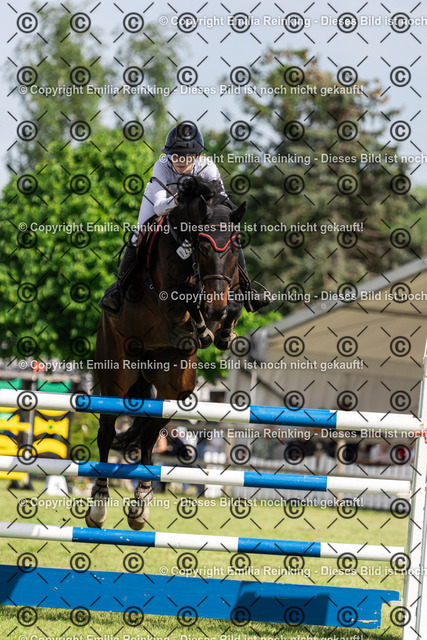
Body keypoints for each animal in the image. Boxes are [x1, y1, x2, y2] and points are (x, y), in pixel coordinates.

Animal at [86, 176, 246, 530]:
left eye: (235, 246)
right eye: (203, 246)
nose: (215, 307)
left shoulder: (228, 288)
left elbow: (233, 303)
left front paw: (221, 333)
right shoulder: (170, 302)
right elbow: (186, 297)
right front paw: (203, 329)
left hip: (176, 385)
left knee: (150, 432)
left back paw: (141, 502)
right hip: (116, 373)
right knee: (106, 431)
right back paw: (99, 505)